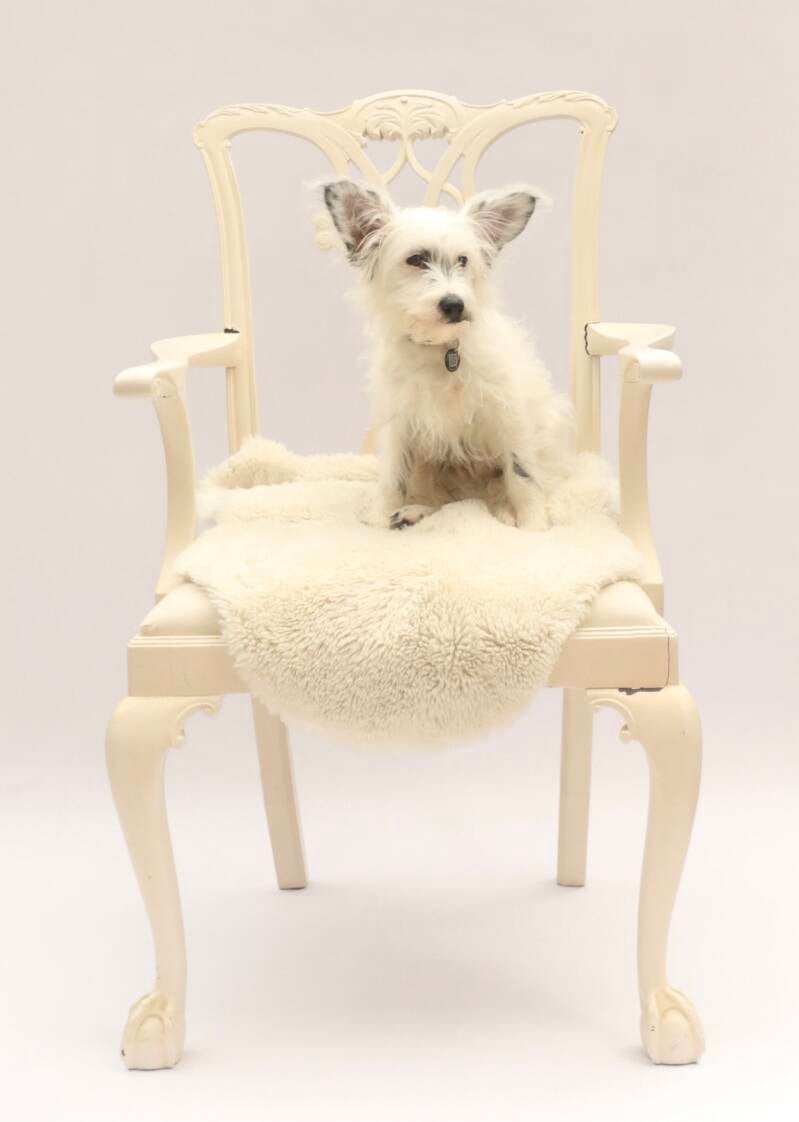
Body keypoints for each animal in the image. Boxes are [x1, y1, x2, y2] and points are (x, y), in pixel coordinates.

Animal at [322, 179, 574, 531]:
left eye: (463, 260)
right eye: (415, 260)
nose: (455, 304)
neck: (441, 350)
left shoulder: (509, 414)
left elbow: (522, 475)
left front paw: (532, 524)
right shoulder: (400, 421)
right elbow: (392, 477)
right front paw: (380, 518)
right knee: (444, 500)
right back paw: (413, 512)